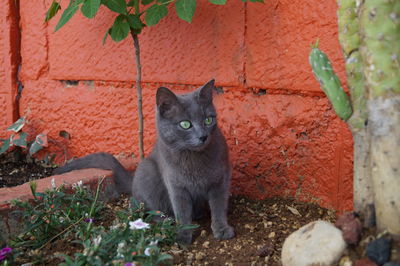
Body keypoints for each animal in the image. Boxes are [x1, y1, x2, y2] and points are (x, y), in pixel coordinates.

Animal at [54, 79, 233, 245]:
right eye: (185, 124)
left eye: (208, 120)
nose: (203, 136)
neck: (194, 159)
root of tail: (132, 178)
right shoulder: (175, 185)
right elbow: (181, 211)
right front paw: (183, 235)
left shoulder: (221, 179)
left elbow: (218, 206)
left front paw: (222, 229)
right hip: (147, 170)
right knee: (145, 206)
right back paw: (165, 220)